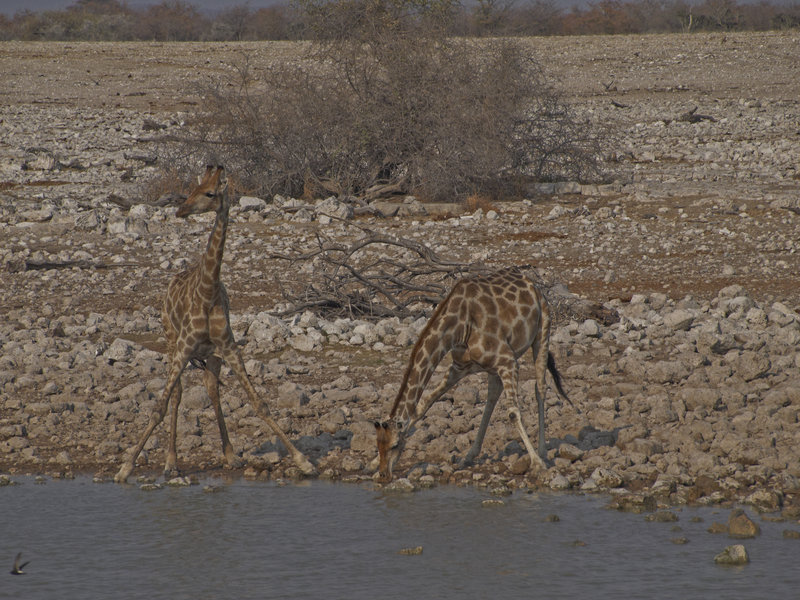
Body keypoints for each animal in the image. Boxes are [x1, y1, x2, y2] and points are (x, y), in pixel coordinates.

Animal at [114, 165, 315, 483]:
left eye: (209, 193)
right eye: (191, 190)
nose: (181, 210)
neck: (208, 293)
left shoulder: (229, 347)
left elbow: (260, 403)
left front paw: (303, 461)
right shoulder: (184, 348)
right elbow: (159, 407)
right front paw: (125, 467)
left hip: (211, 355)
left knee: (211, 388)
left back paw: (229, 455)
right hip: (171, 342)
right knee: (178, 395)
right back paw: (171, 462)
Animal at [373, 267, 571, 482]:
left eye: (395, 445)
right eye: (378, 444)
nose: (384, 475)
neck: (458, 326)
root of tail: (532, 284)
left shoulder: (508, 361)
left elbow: (513, 413)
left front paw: (537, 464)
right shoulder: (460, 367)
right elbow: (422, 407)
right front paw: (372, 464)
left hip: (542, 332)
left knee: (540, 387)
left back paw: (543, 453)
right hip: (493, 367)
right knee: (493, 396)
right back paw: (469, 455)